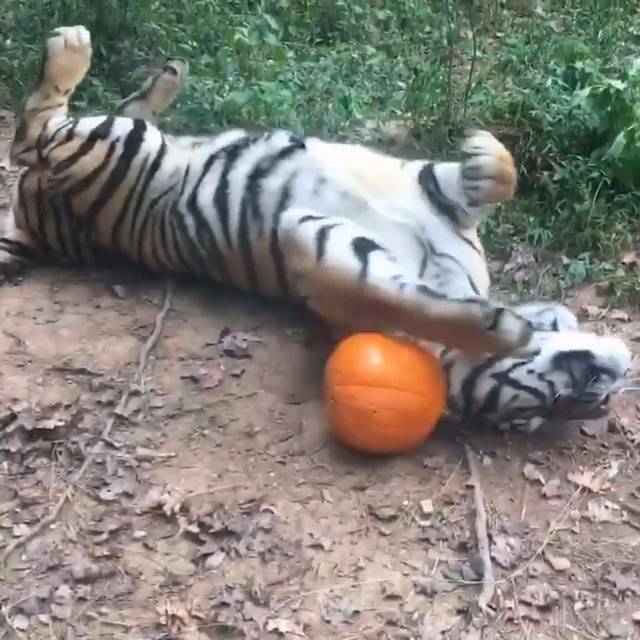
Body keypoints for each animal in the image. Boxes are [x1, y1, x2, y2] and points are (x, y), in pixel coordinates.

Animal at [0, 25, 631, 433]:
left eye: (534, 421)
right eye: (543, 407)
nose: (608, 391)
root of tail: (34, 227)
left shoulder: (321, 243)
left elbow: (408, 298)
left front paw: (497, 324)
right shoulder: (377, 215)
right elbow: (496, 181)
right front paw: (482, 151)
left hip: (113, 147)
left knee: (53, 132)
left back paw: (161, 76)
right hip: (114, 146)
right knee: (31, 133)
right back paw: (80, 49)